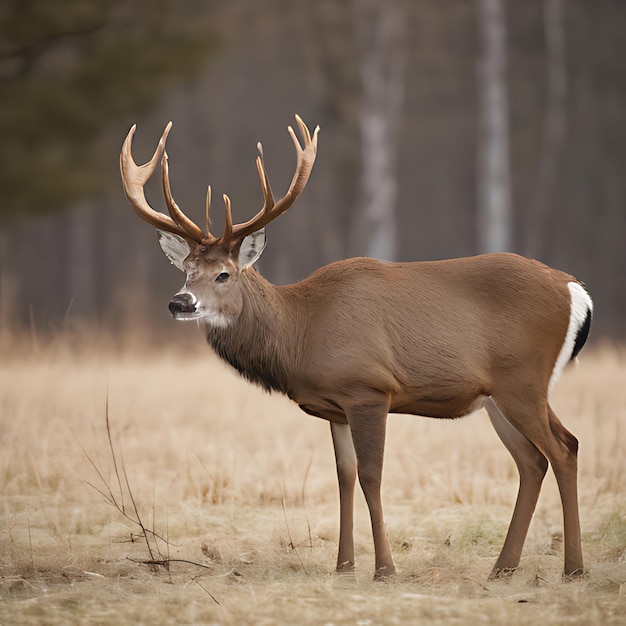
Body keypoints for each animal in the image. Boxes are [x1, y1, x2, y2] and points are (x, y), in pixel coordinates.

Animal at [120, 113, 588, 580]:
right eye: (186, 269)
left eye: (224, 274)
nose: (180, 302)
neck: (302, 331)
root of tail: (575, 289)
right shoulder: (336, 406)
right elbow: (344, 476)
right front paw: (344, 565)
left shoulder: (369, 389)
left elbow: (371, 477)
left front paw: (384, 569)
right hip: (501, 394)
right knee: (536, 459)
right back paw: (502, 568)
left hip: (523, 379)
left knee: (562, 450)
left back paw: (573, 568)